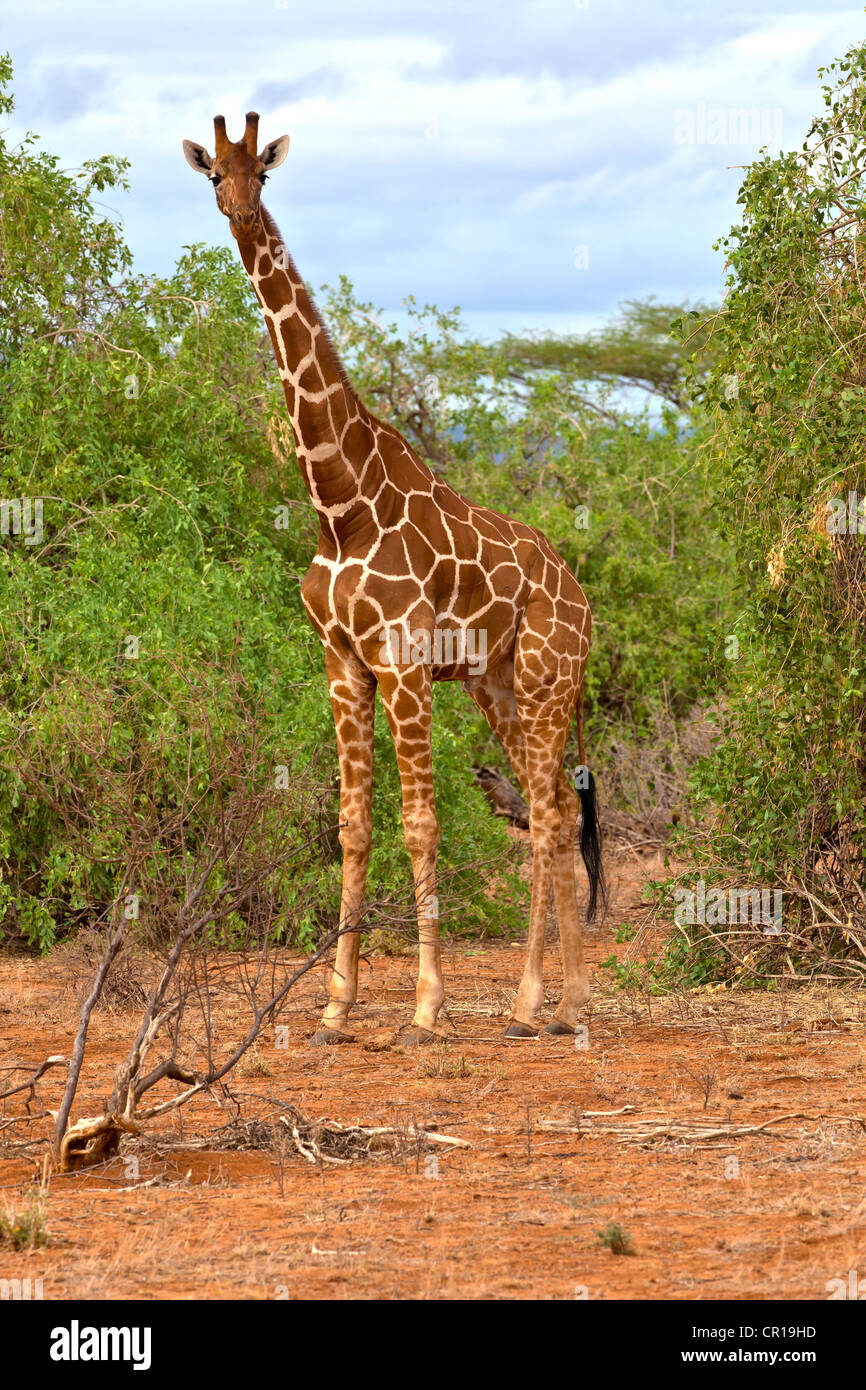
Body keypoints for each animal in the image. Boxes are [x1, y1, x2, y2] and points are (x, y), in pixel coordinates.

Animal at [180, 116, 603, 1045]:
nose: (240, 210)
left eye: (263, 171)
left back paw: (541, 1003)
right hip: (496, 684)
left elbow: (419, 825)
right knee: (554, 808)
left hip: (549, 679)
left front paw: (426, 1006)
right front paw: (336, 1007)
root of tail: (582, 594)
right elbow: (352, 827)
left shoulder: (403, 665)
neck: (340, 500)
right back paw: (554, 1004)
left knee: (548, 811)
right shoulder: (343, 664)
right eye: (212, 174)